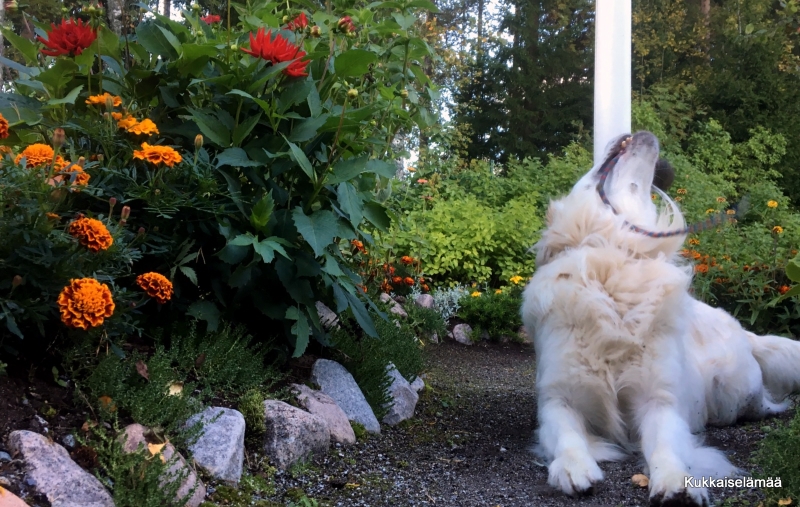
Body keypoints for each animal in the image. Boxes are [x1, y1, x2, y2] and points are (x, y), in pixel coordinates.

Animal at [521, 131, 800, 506]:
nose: (641, 132)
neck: (613, 260)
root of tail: (743, 330)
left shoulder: (658, 400)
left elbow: (666, 445)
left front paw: (677, 481)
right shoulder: (557, 397)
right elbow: (566, 435)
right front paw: (573, 468)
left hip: (736, 392)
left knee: (761, 403)